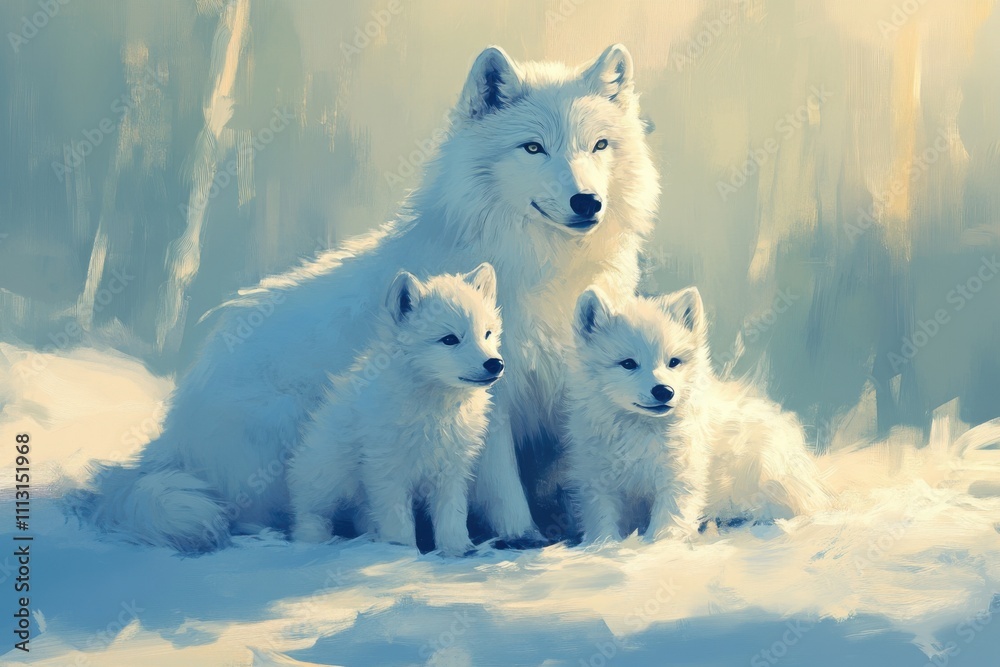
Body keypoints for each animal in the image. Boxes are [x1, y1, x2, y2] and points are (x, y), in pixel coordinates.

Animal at [288, 265, 502, 556]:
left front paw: (456, 550)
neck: (435, 409)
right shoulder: (387, 472)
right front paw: (401, 554)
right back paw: (316, 539)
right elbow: (398, 520)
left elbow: (452, 515)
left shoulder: (451, 470)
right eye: (449, 339)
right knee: (310, 514)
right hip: (328, 476)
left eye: (487, 334)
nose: (495, 364)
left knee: (362, 516)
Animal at [565, 286, 830, 543]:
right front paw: (603, 546)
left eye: (673, 362)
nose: (664, 391)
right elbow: (602, 518)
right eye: (628, 363)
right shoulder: (598, 480)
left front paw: (659, 545)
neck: (641, 432)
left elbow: (669, 518)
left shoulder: (680, 476)